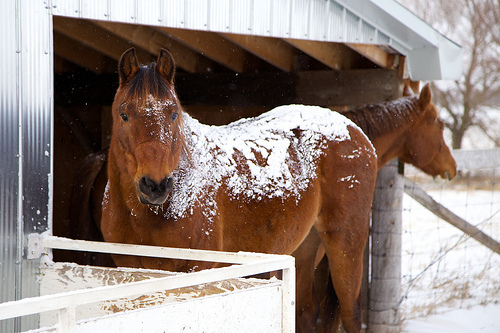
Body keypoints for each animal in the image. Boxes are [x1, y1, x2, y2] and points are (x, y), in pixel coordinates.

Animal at [99, 48, 376, 332]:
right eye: (124, 114)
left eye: (174, 114)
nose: (155, 186)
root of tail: (354, 131)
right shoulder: (132, 274)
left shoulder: (197, 272)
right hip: (303, 248)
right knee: (307, 312)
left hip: (345, 246)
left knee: (351, 312)